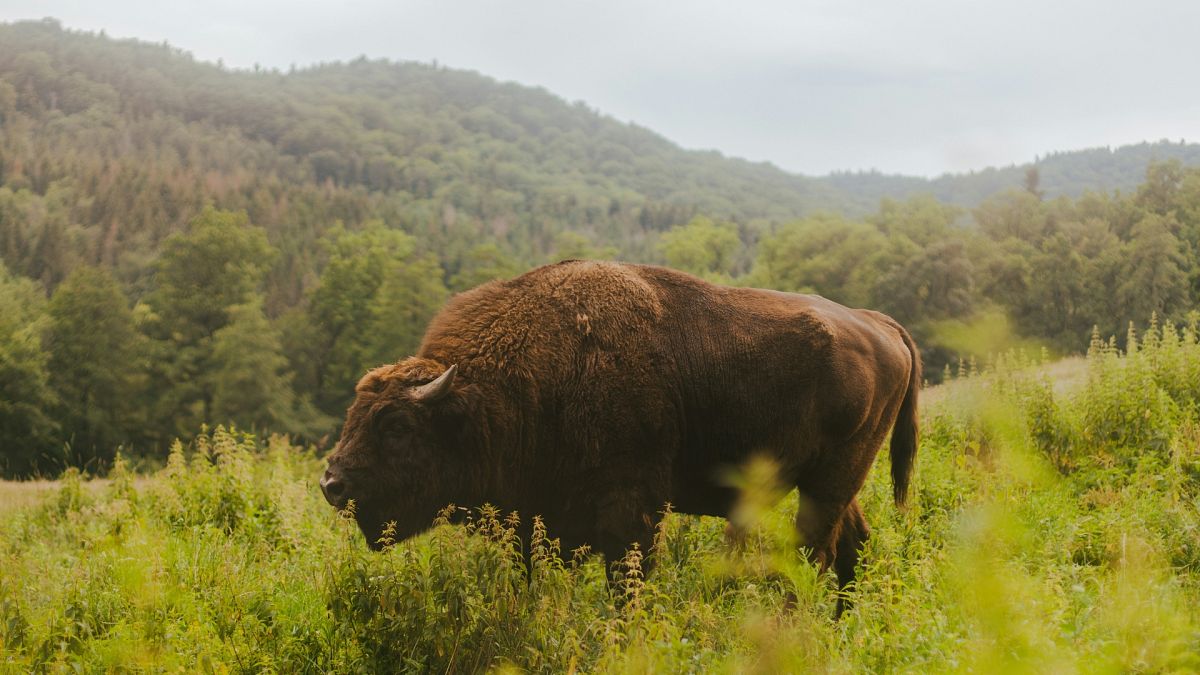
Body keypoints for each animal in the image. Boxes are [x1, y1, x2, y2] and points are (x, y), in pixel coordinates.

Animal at [319, 257, 916, 593]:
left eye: (397, 425)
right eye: (354, 415)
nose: (332, 484)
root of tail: (878, 322)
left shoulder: (632, 512)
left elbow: (625, 587)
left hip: (831, 481)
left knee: (816, 553)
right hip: (831, 481)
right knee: (851, 547)